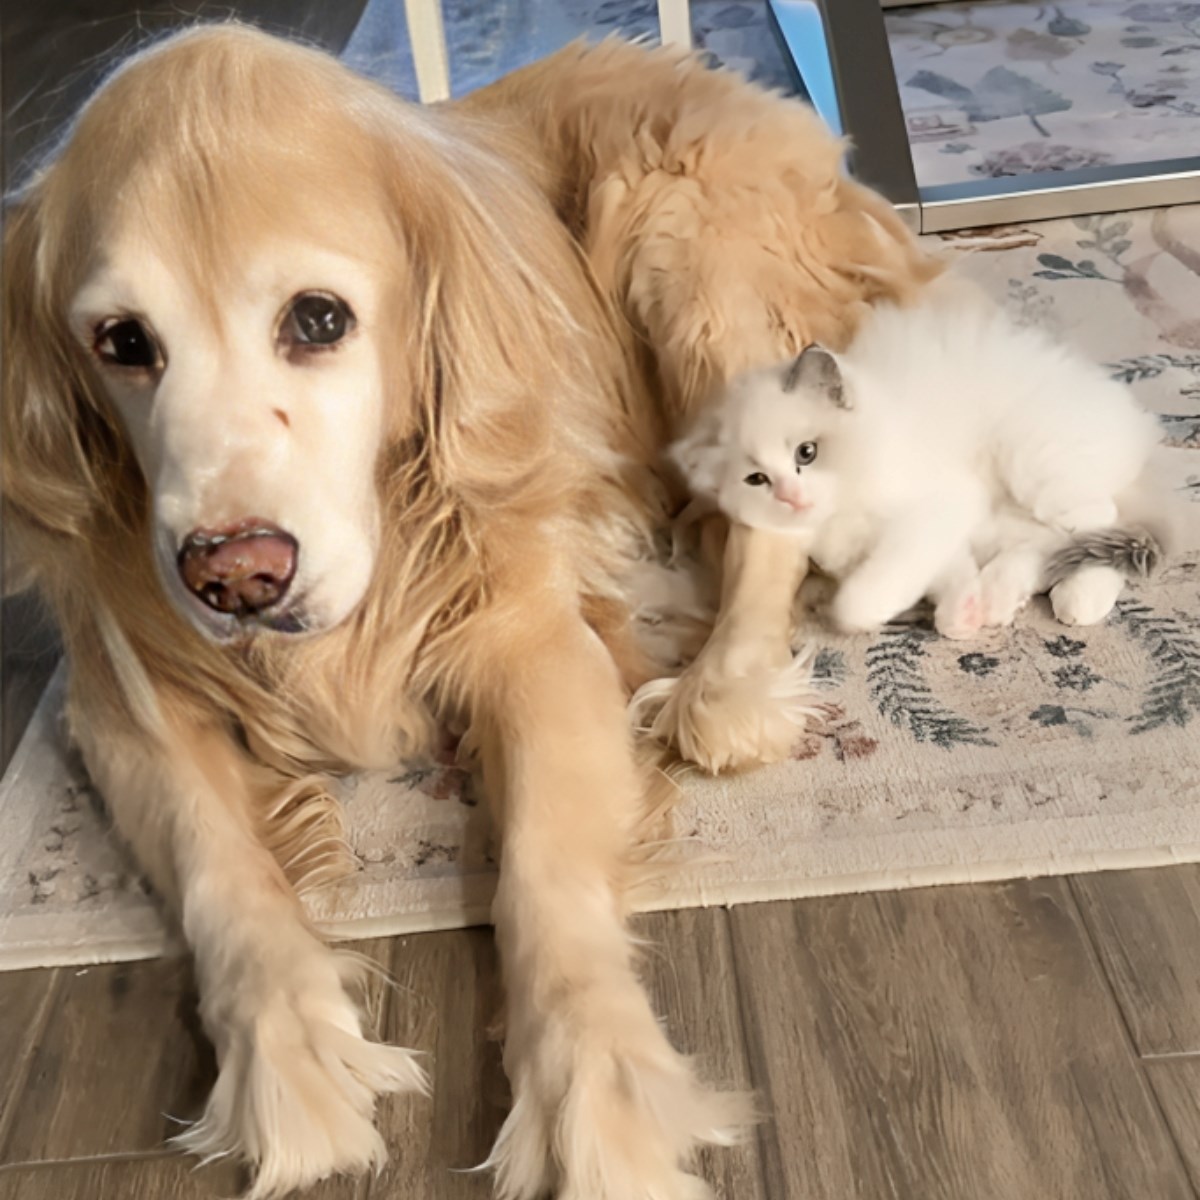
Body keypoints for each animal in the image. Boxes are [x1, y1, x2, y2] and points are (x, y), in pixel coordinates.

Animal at [2, 25, 936, 1200]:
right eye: (123, 341)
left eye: (319, 319)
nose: (237, 574)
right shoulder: (127, 700)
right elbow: (217, 868)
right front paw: (290, 1057)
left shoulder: (534, 647)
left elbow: (541, 875)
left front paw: (598, 1095)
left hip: (681, 235)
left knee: (775, 500)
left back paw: (722, 686)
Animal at [672, 280, 1166, 638]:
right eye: (756, 480)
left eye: (806, 453)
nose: (793, 498)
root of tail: (1136, 422)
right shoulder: (941, 535)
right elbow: (947, 574)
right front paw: (963, 613)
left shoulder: (936, 509)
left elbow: (858, 600)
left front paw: (869, 612)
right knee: (1050, 545)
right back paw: (1004, 596)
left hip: (1036, 468)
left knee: (1099, 521)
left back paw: (1076, 600)